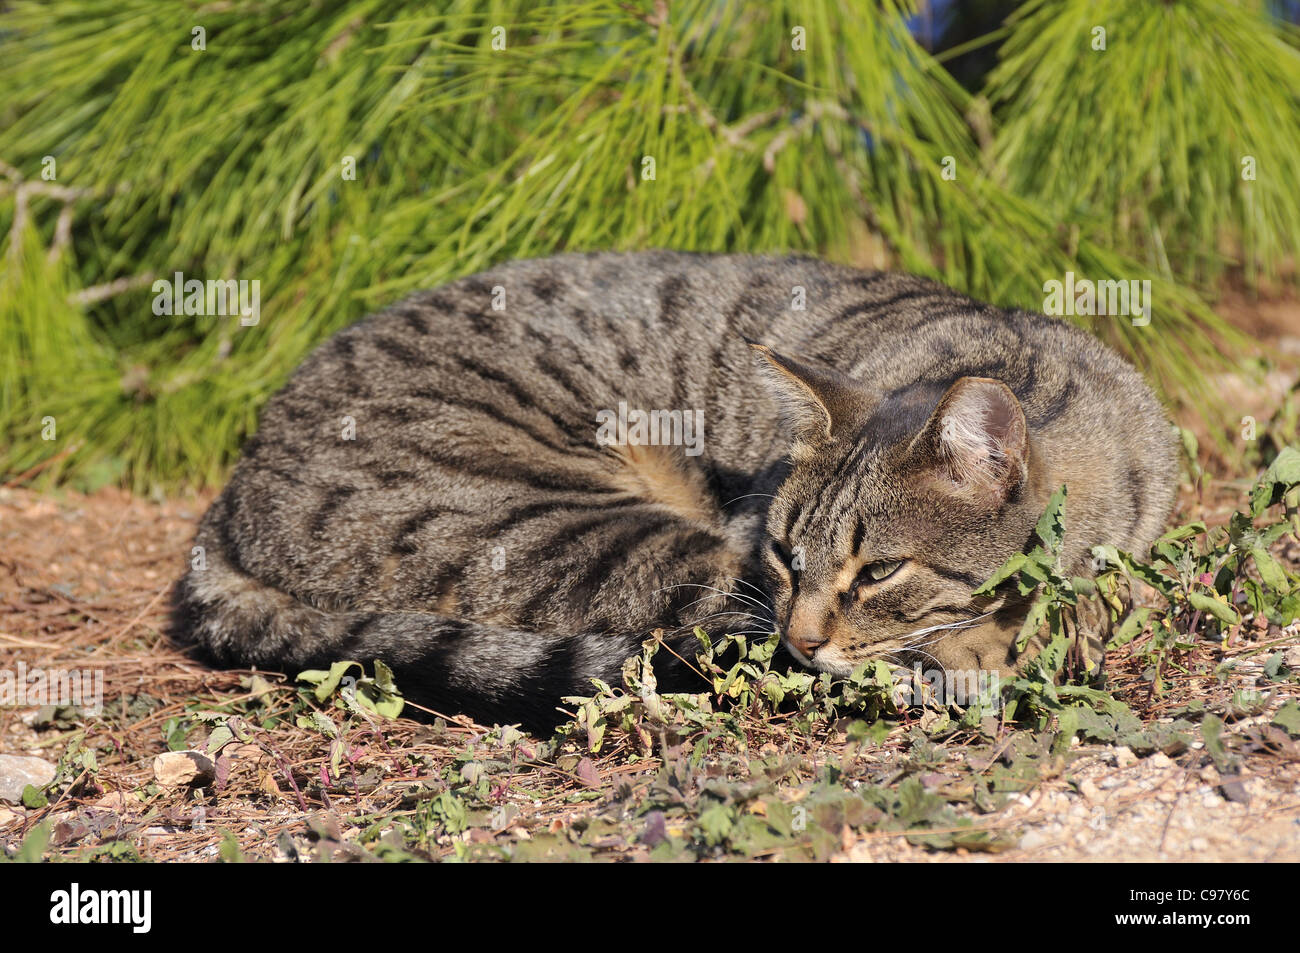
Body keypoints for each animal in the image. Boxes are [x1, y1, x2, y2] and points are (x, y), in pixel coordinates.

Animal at [172, 250, 1180, 728]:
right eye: (786, 552)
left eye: (880, 570)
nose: (805, 634)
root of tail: (233, 496)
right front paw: (991, 645)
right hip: (580, 532)